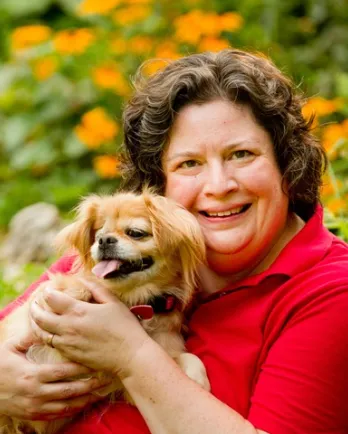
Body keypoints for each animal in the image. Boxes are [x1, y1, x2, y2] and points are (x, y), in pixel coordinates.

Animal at [0, 191, 209, 434]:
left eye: (135, 233)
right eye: (97, 235)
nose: (104, 240)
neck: (132, 301)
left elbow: (191, 358)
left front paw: (198, 380)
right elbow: (72, 284)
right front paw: (79, 289)